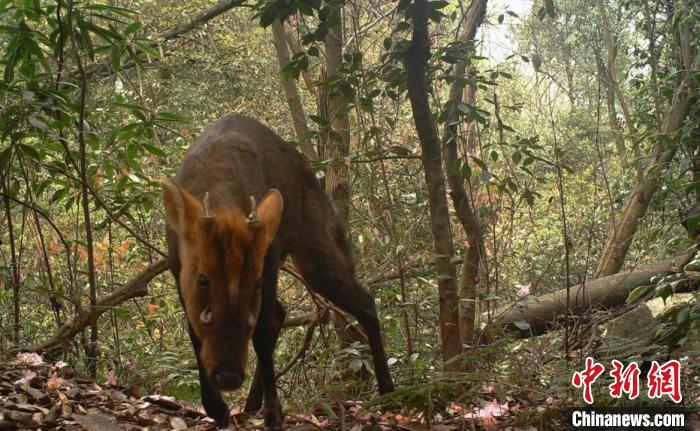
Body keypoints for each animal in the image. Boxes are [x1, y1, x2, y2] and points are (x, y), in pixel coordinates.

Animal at [163, 114, 394, 428]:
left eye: (254, 282)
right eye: (202, 279)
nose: (228, 376)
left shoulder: (269, 261)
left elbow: (261, 332)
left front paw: (274, 414)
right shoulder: (177, 268)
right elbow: (193, 330)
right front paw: (217, 409)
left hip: (315, 247)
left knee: (365, 301)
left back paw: (389, 392)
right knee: (283, 312)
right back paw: (249, 405)